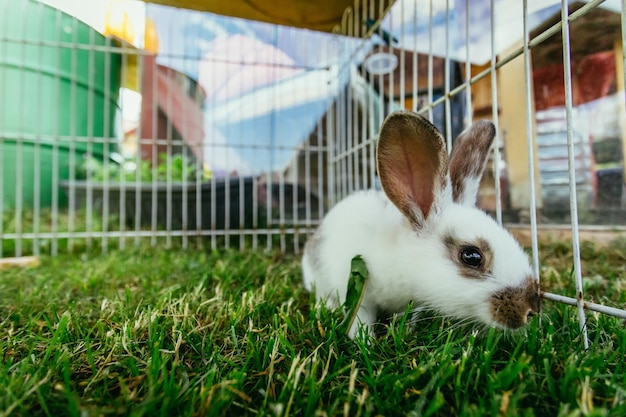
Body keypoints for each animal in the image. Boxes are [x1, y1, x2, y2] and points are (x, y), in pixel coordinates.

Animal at [300, 110, 540, 338]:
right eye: (471, 257)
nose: (531, 310)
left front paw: (405, 329)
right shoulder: (356, 289)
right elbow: (359, 319)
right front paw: (365, 340)